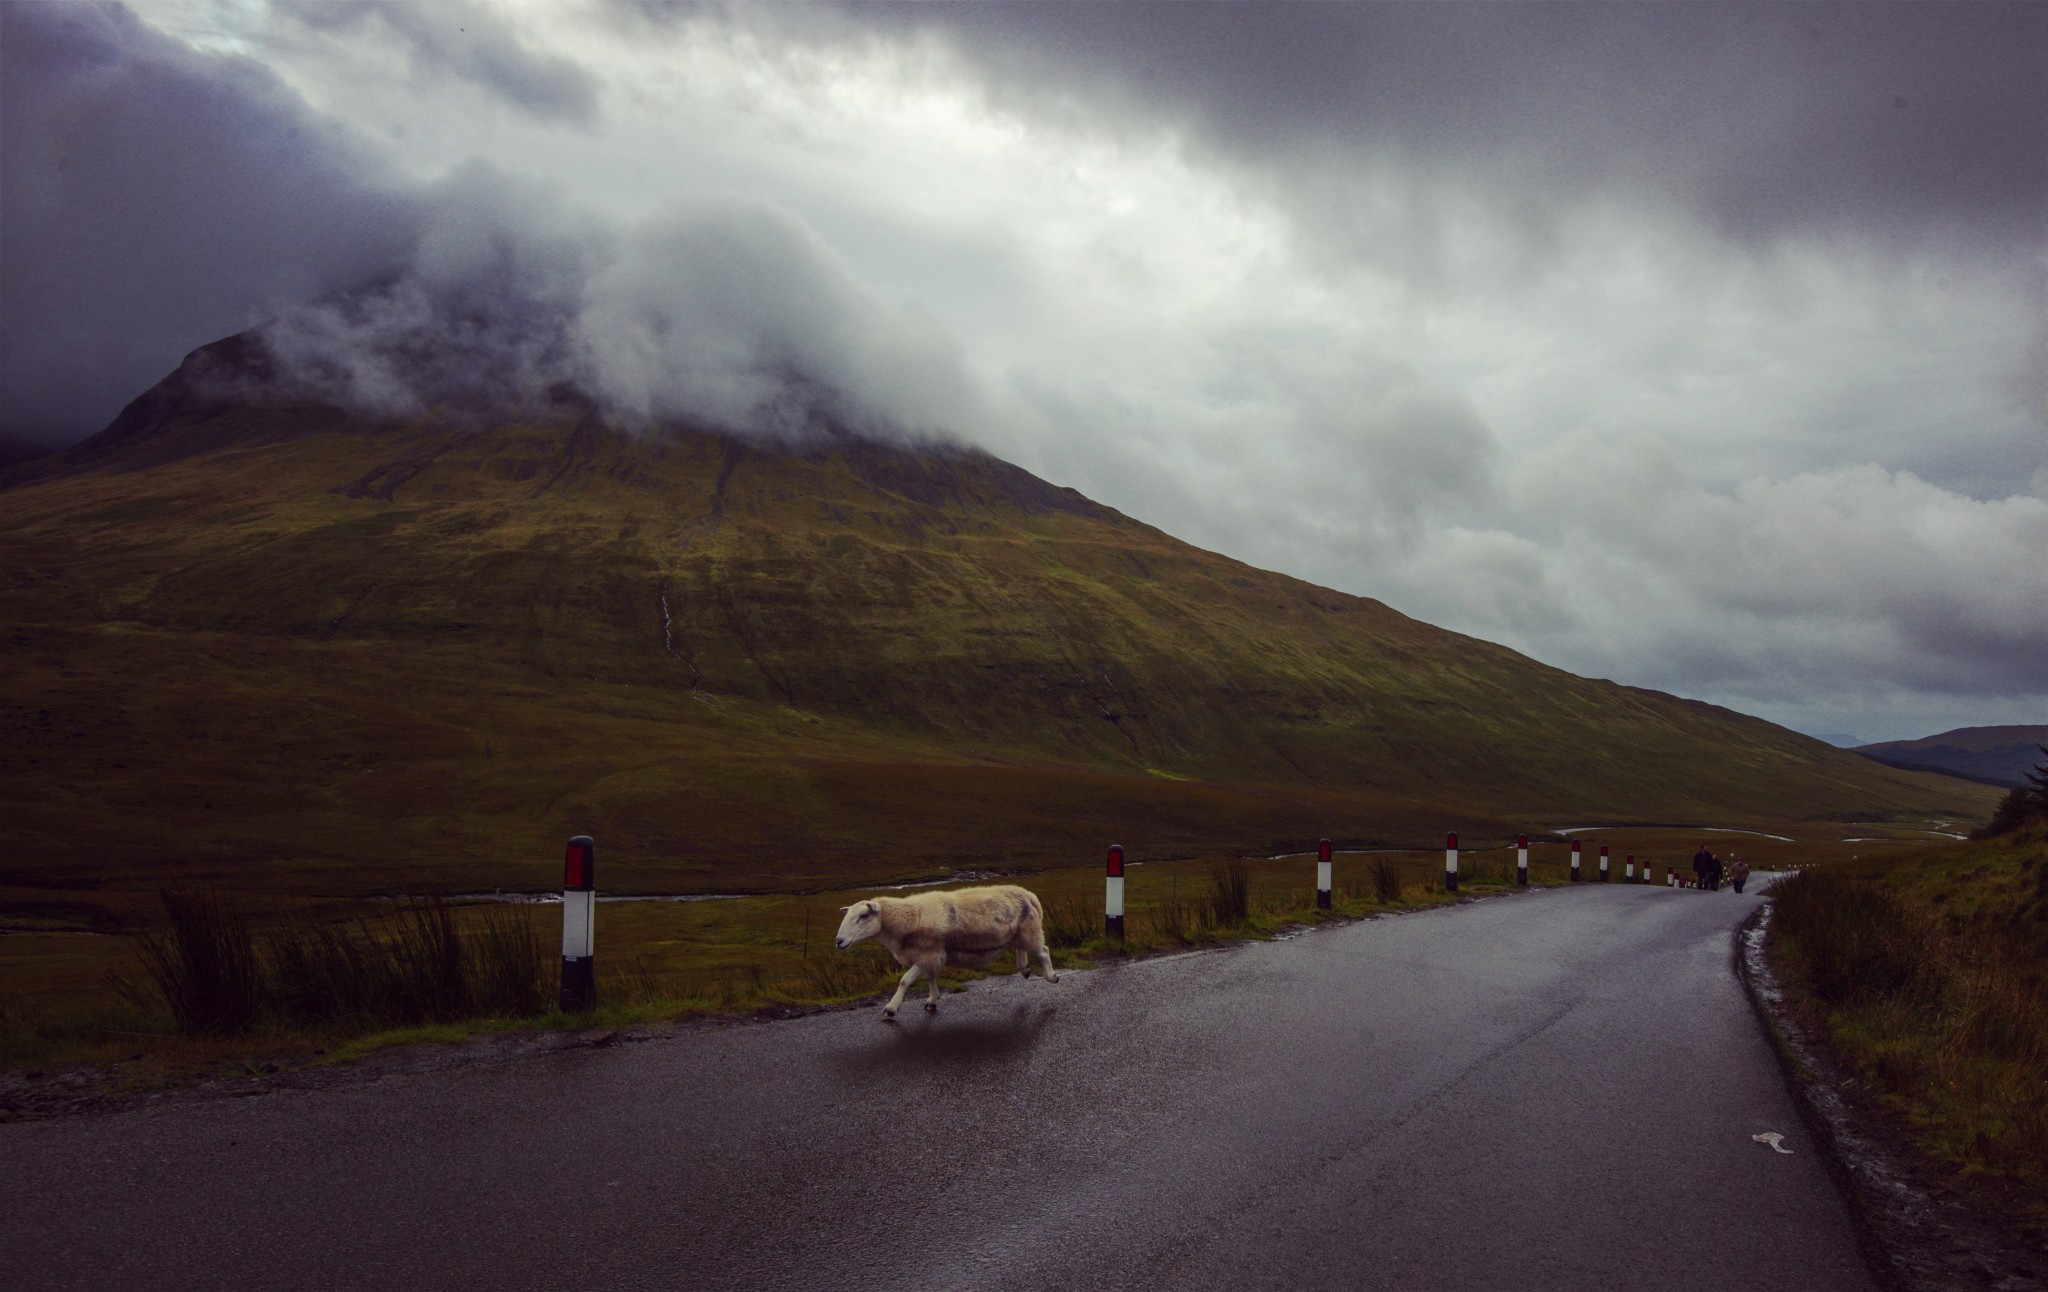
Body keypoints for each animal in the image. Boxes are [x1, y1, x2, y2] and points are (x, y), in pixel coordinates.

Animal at [835, 880, 1064, 1019]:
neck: (906, 918)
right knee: (1021, 949)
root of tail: (1028, 893)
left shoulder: (927, 954)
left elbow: (905, 981)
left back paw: (1051, 976)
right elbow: (930, 978)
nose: (839, 941)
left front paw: (891, 1008)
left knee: (1043, 951)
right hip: (1020, 932)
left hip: (1030, 930)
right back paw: (1024, 968)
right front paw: (932, 1000)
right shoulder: (929, 955)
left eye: (863, 916)